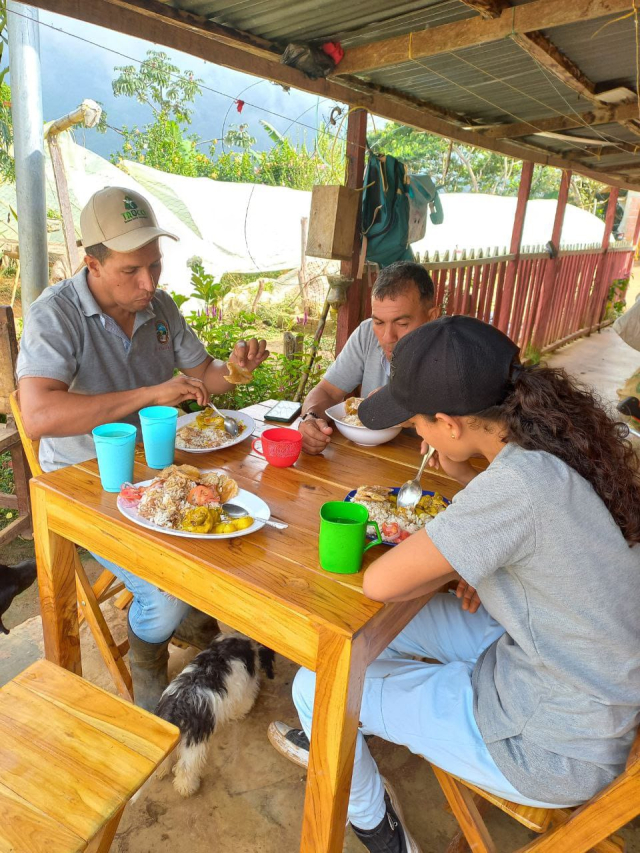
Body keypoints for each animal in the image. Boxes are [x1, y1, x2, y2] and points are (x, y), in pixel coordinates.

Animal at [156, 628, 276, 796]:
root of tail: (177, 708)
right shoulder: (245, 686)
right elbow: (245, 701)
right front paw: (242, 712)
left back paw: (161, 771)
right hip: (193, 743)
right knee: (186, 767)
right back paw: (187, 787)